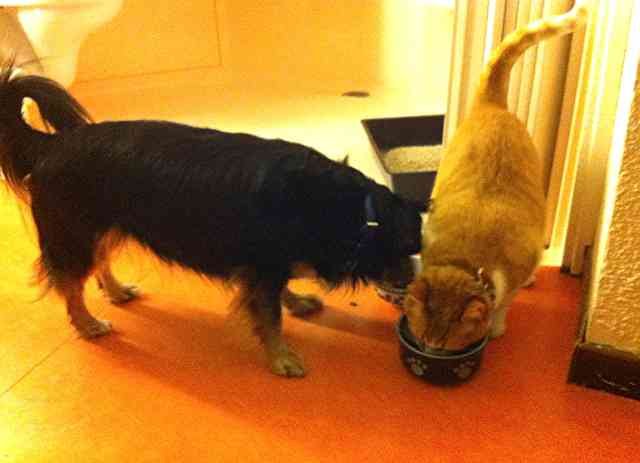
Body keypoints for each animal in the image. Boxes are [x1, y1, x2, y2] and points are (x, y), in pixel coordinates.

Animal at [1, 64, 424, 376]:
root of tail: (51, 144)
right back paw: (87, 324)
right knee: (69, 284)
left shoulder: (267, 268)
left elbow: (277, 295)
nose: (412, 282)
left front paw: (297, 302)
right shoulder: (263, 267)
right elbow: (269, 318)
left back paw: (116, 291)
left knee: (98, 263)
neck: (351, 211)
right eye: (410, 247)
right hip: (72, 232)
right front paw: (281, 358)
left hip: (102, 226)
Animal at [408, 0, 588, 352]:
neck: (467, 258)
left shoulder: (518, 266)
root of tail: (492, 106)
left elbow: (505, 303)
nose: (429, 353)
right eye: (422, 339)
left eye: (444, 347)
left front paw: (495, 327)